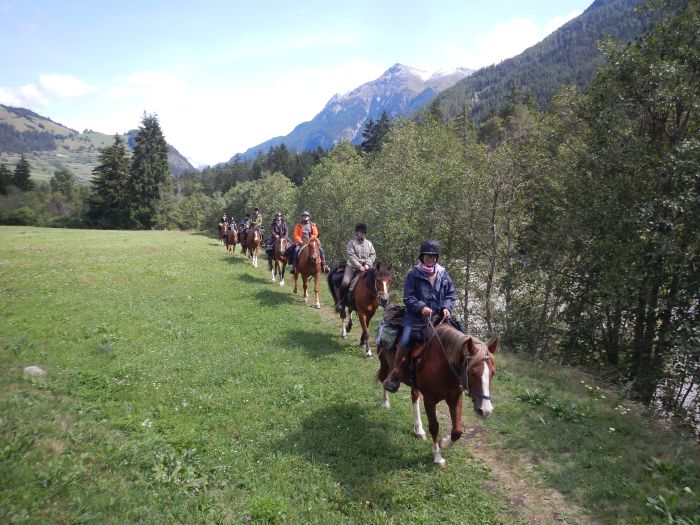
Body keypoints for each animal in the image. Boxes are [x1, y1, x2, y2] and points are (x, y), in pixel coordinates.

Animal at [378, 322, 498, 464]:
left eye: (493, 373)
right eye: (473, 372)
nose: (485, 410)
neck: (444, 366)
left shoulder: (455, 398)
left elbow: (457, 430)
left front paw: (444, 443)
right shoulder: (429, 400)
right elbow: (434, 426)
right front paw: (437, 456)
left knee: (414, 396)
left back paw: (419, 430)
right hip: (385, 363)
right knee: (383, 379)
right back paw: (385, 402)